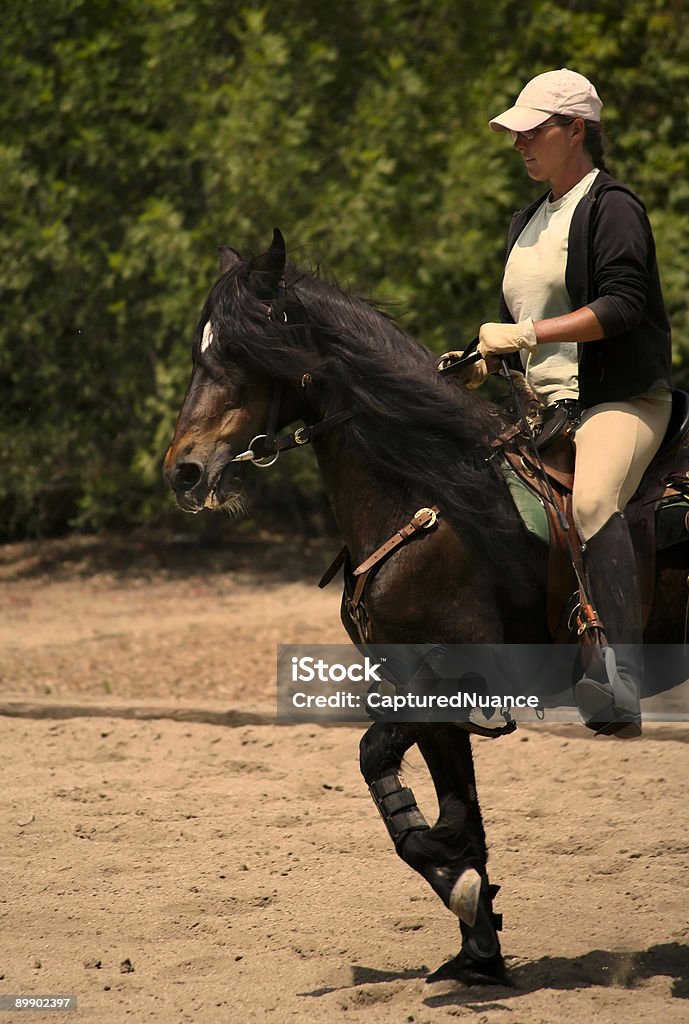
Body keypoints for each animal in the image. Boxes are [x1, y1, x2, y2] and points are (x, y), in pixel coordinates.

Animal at [162, 230, 687, 983]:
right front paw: (477, 945)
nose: (182, 471)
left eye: (234, 349)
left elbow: (378, 761)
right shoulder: (423, 685)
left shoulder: (451, 674)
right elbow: (458, 810)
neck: (432, 499)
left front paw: (451, 876)